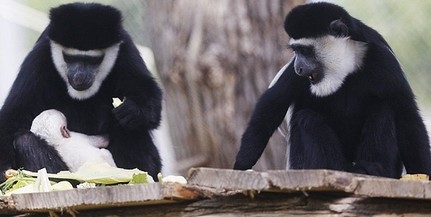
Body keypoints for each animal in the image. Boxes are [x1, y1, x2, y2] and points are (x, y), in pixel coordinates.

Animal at [0, 2, 162, 181]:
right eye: (69, 57)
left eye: (94, 60)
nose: (79, 77)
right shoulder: (39, 57)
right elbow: (14, 116)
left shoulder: (126, 50)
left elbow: (151, 101)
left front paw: (132, 109)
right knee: (24, 140)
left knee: (128, 126)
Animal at [235, 2, 431, 178]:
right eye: (295, 51)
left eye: (305, 50)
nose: (299, 67)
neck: (346, 66)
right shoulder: (292, 75)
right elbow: (271, 107)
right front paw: (241, 167)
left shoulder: (383, 61)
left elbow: (407, 116)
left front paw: (422, 174)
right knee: (307, 119)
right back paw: (337, 168)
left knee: (383, 109)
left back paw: (373, 169)